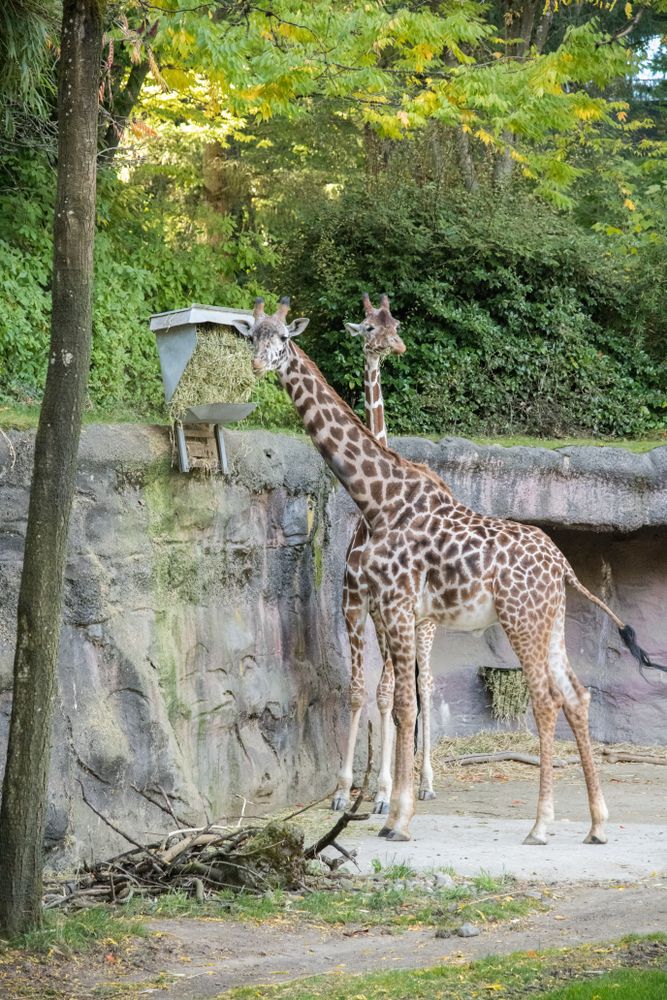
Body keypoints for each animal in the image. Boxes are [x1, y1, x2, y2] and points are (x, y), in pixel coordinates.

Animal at [232, 296, 665, 845]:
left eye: (283, 340)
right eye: (252, 336)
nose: (257, 365)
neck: (378, 500)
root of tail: (563, 565)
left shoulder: (396, 604)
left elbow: (402, 702)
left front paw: (396, 816)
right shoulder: (388, 607)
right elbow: (397, 699)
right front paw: (388, 807)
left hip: (520, 621)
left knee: (545, 699)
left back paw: (540, 825)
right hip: (550, 624)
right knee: (577, 694)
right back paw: (597, 824)